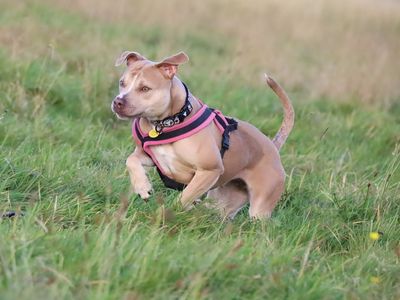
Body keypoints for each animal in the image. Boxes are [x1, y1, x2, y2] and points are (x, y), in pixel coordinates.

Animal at [111, 51, 294, 219]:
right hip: (222, 201)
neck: (168, 122)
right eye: (122, 83)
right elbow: (131, 160)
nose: (118, 101)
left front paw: (167, 212)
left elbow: (184, 197)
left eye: (145, 88)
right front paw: (142, 187)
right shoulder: (150, 156)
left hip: (260, 206)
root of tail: (273, 146)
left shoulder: (209, 170)